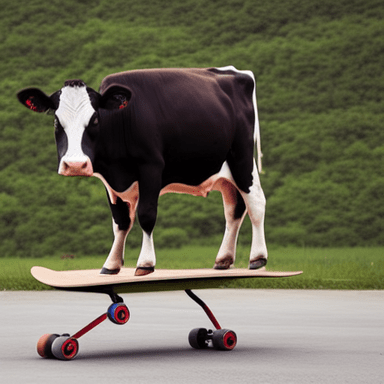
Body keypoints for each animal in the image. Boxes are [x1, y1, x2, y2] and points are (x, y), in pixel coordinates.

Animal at [15, 67, 268, 276]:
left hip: (242, 159)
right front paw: (111, 264)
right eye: (57, 121)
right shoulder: (110, 181)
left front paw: (145, 263)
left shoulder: (151, 167)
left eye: (95, 119)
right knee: (234, 209)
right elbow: (120, 221)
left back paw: (257, 258)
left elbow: (146, 215)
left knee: (255, 201)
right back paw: (223, 259)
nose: (75, 165)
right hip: (225, 174)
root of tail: (236, 73)